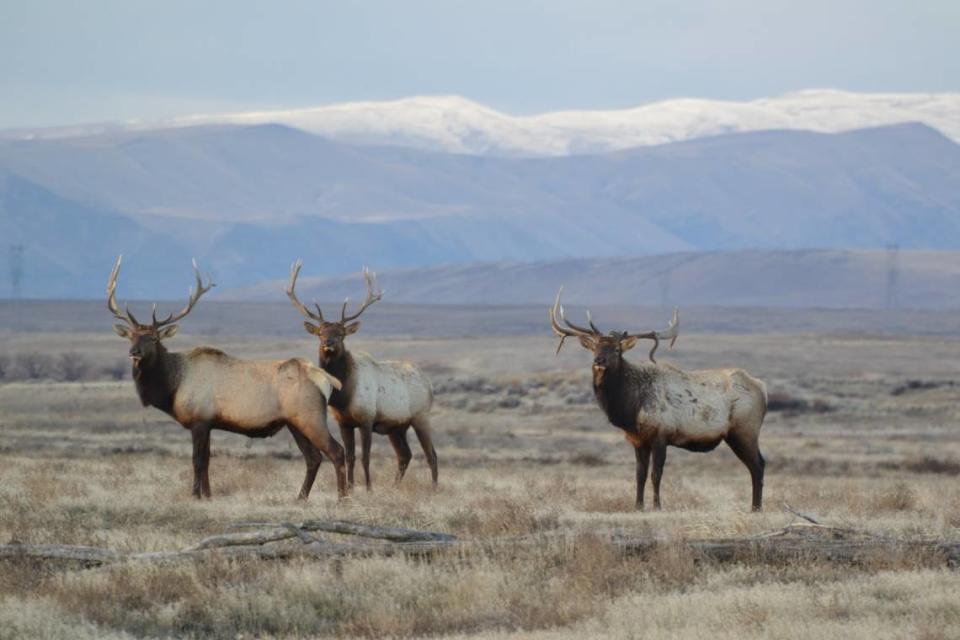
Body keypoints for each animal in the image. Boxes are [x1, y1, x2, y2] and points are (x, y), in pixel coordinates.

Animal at [107, 255, 346, 500]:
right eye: (132, 336)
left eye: (154, 338)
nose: (134, 352)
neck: (173, 385)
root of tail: (327, 379)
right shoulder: (209, 423)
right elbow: (207, 461)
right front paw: (208, 495)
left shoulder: (199, 420)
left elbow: (197, 461)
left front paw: (195, 495)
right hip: (294, 423)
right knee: (314, 458)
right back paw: (300, 498)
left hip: (310, 417)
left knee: (336, 451)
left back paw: (342, 497)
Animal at [284, 260, 436, 490]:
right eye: (320, 333)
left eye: (341, 334)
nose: (328, 343)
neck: (343, 394)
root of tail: (430, 385)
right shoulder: (344, 423)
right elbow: (350, 457)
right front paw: (350, 487)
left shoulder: (366, 419)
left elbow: (365, 457)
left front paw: (369, 489)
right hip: (396, 427)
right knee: (405, 455)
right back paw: (395, 486)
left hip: (421, 416)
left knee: (431, 455)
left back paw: (435, 488)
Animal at [552, 288, 768, 510]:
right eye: (595, 347)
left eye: (617, 349)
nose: (599, 361)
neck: (630, 407)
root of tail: (762, 387)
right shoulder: (638, 440)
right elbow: (639, 475)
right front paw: (638, 506)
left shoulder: (661, 435)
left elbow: (656, 474)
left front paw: (657, 505)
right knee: (756, 465)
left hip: (745, 430)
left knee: (758, 465)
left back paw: (756, 507)